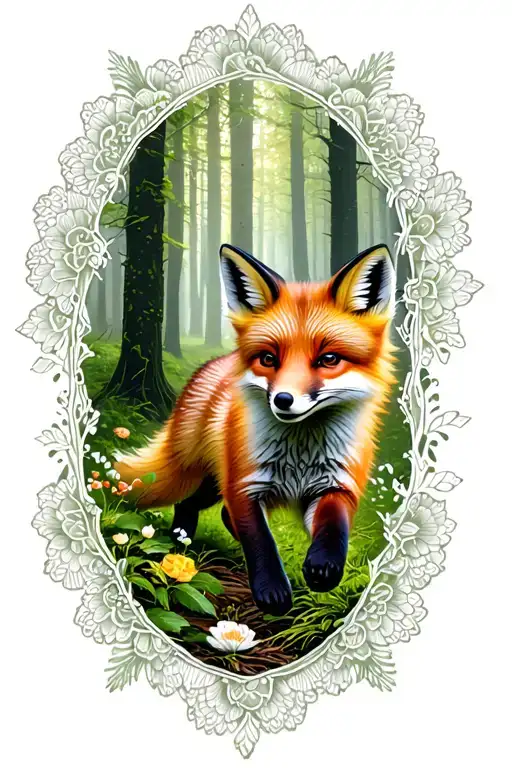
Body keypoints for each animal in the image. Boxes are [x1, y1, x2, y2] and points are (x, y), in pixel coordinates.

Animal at [116, 242, 396, 616]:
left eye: (329, 359)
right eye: (268, 359)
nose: (283, 399)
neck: (300, 454)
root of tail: (207, 369)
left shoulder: (336, 484)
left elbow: (334, 528)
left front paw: (323, 568)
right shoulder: (244, 486)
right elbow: (259, 541)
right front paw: (272, 591)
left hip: (216, 484)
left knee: (216, 511)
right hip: (211, 476)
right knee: (191, 503)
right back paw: (179, 541)